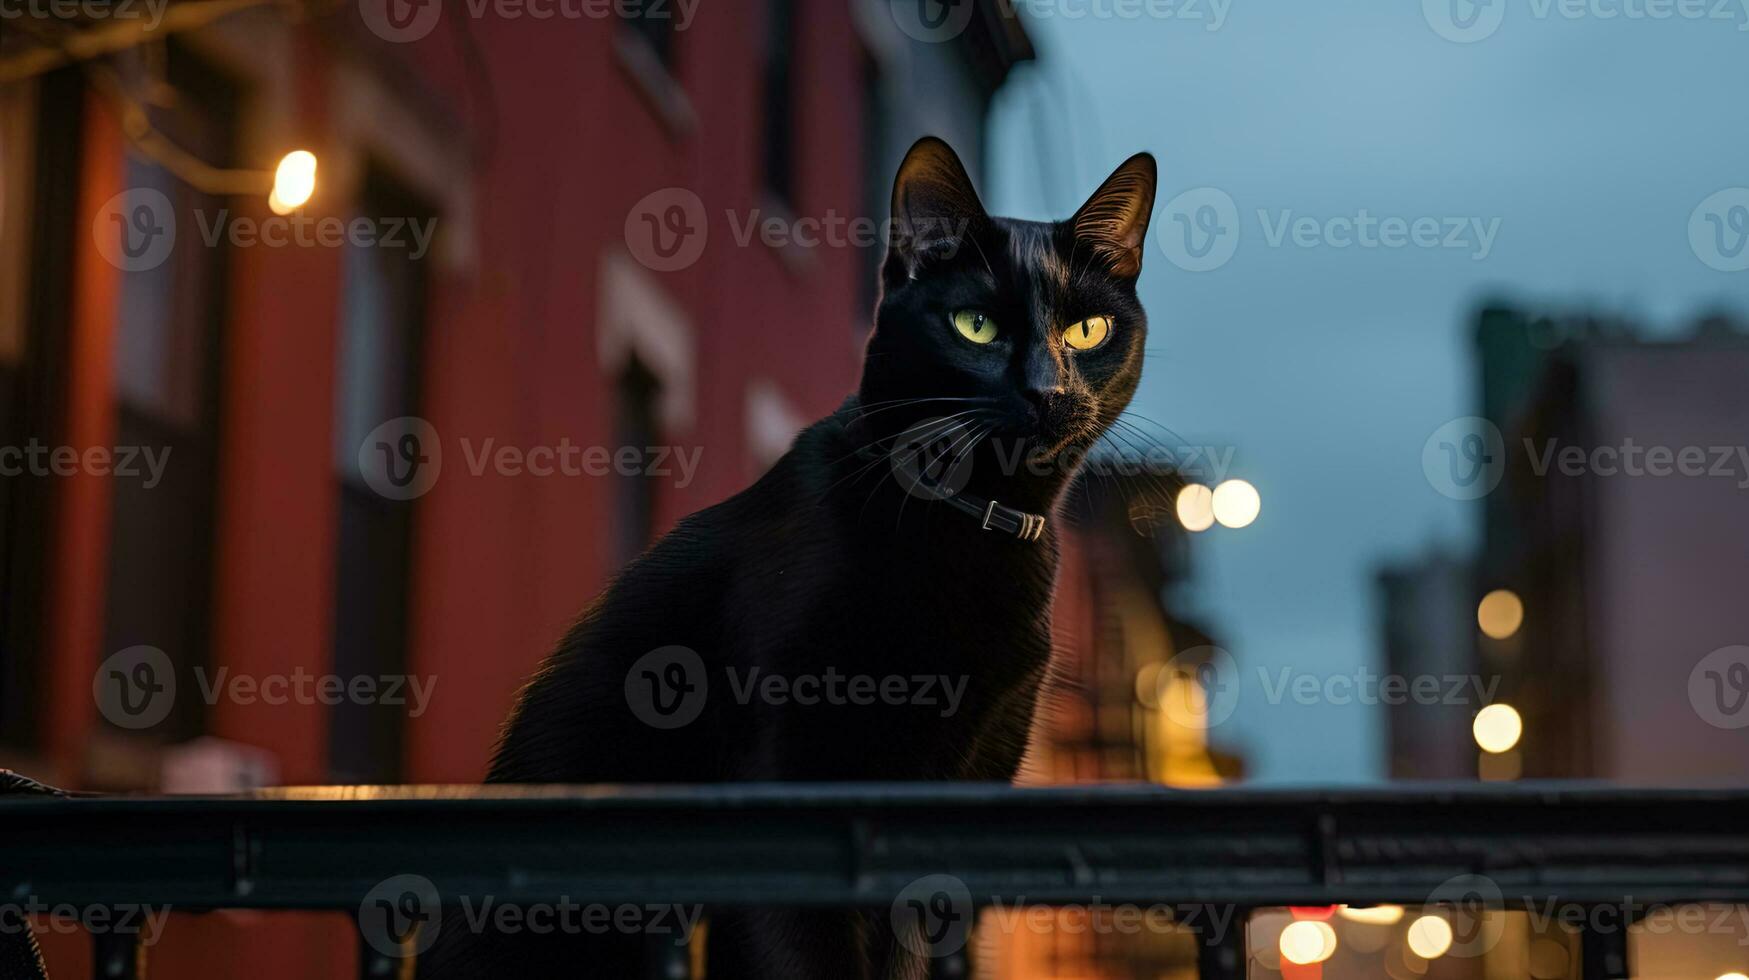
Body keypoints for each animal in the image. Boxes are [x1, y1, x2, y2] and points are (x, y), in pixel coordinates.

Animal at [414, 135, 1154, 980]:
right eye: (974, 326)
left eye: (1088, 331)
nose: (1046, 390)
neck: (968, 518)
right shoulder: (789, 782)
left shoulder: (965, 784)